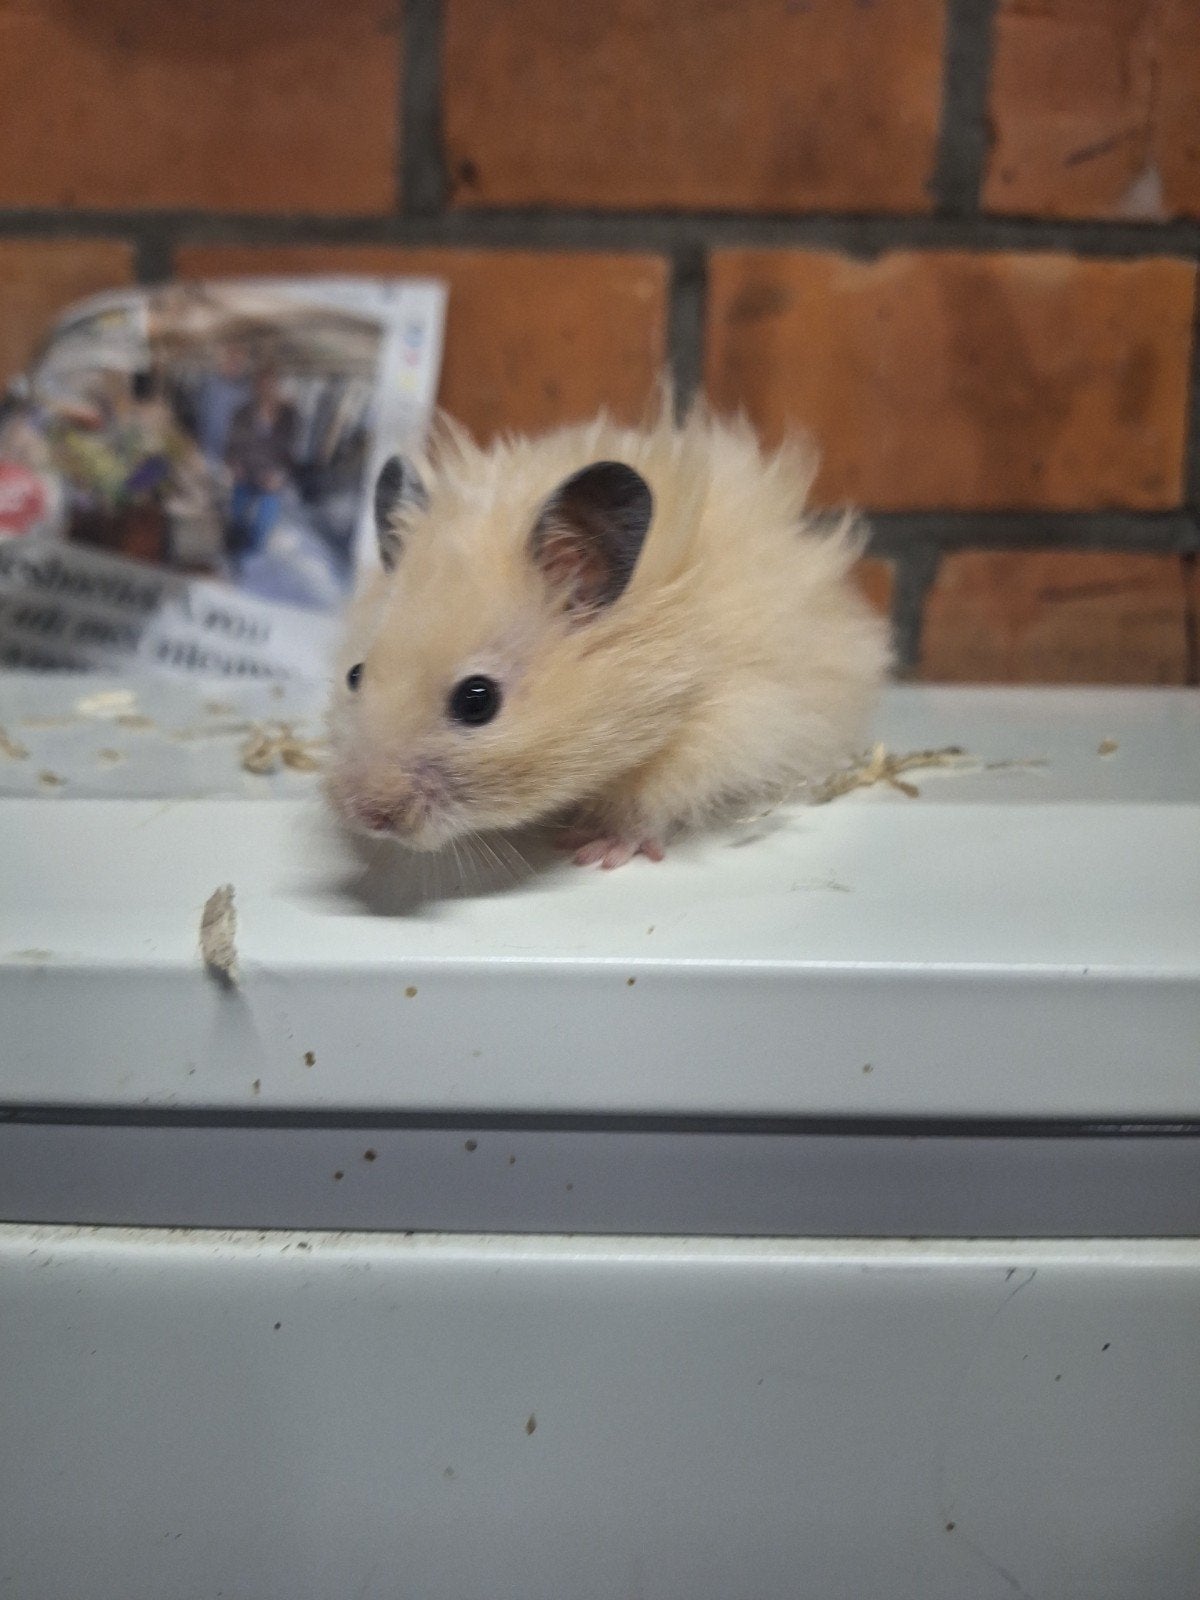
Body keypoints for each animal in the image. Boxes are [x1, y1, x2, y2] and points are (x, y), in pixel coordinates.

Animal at [325, 394, 891, 868]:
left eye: (477, 700)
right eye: (355, 675)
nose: (367, 814)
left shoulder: (721, 727)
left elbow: (647, 801)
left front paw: (593, 849)